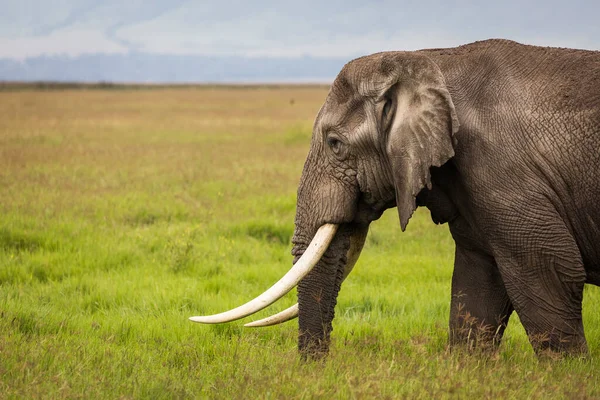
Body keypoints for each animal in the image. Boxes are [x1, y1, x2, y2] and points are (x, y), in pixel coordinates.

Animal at [192, 39, 600, 360]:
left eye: (335, 143)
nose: (317, 371)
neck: (428, 61)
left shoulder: (503, 169)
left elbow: (550, 270)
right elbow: (477, 287)